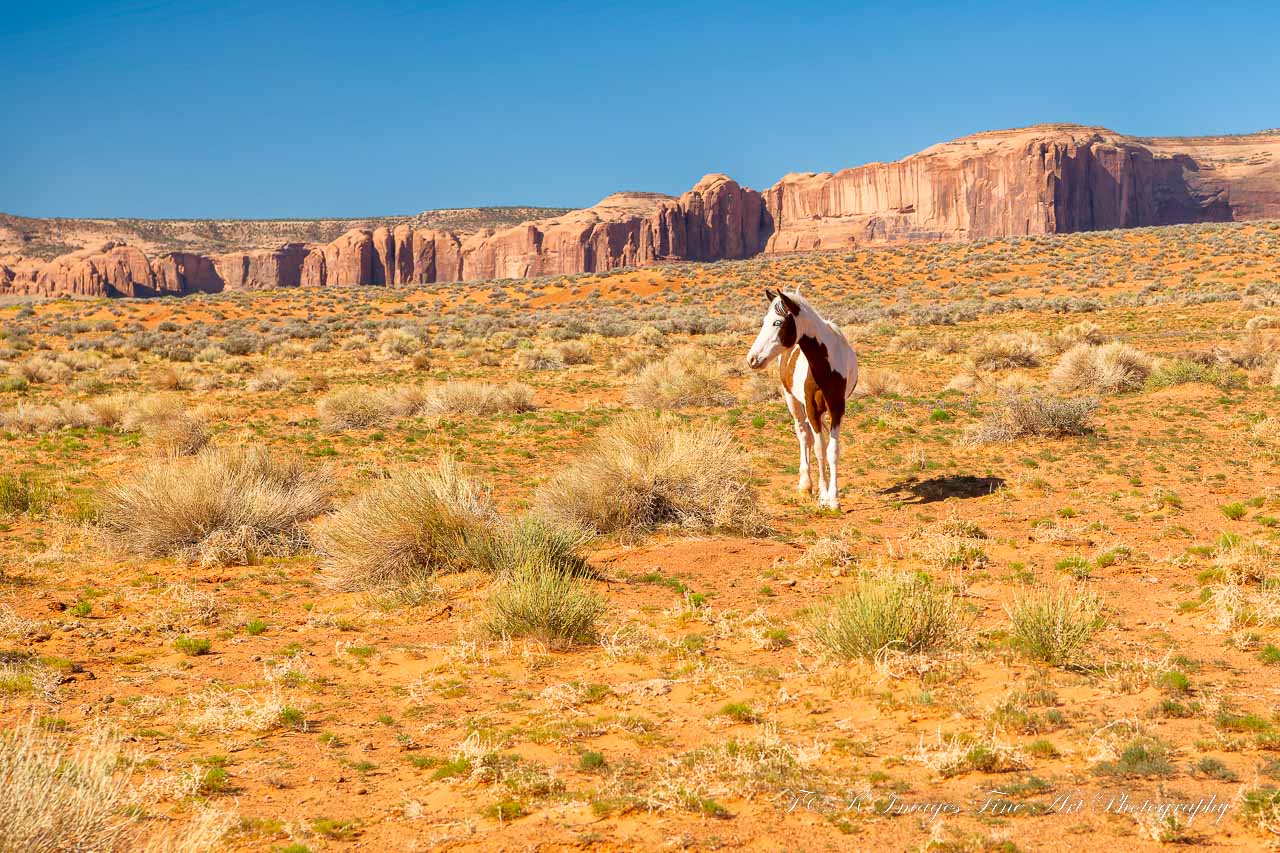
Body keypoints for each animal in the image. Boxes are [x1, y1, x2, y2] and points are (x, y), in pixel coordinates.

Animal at [742, 289, 860, 507]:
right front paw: (823, 496)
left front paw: (834, 499)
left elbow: (832, 451)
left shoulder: (837, 408)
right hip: (792, 400)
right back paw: (805, 484)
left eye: (777, 322)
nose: (752, 359)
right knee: (803, 434)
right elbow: (820, 449)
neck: (825, 365)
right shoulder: (812, 408)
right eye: (764, 320)